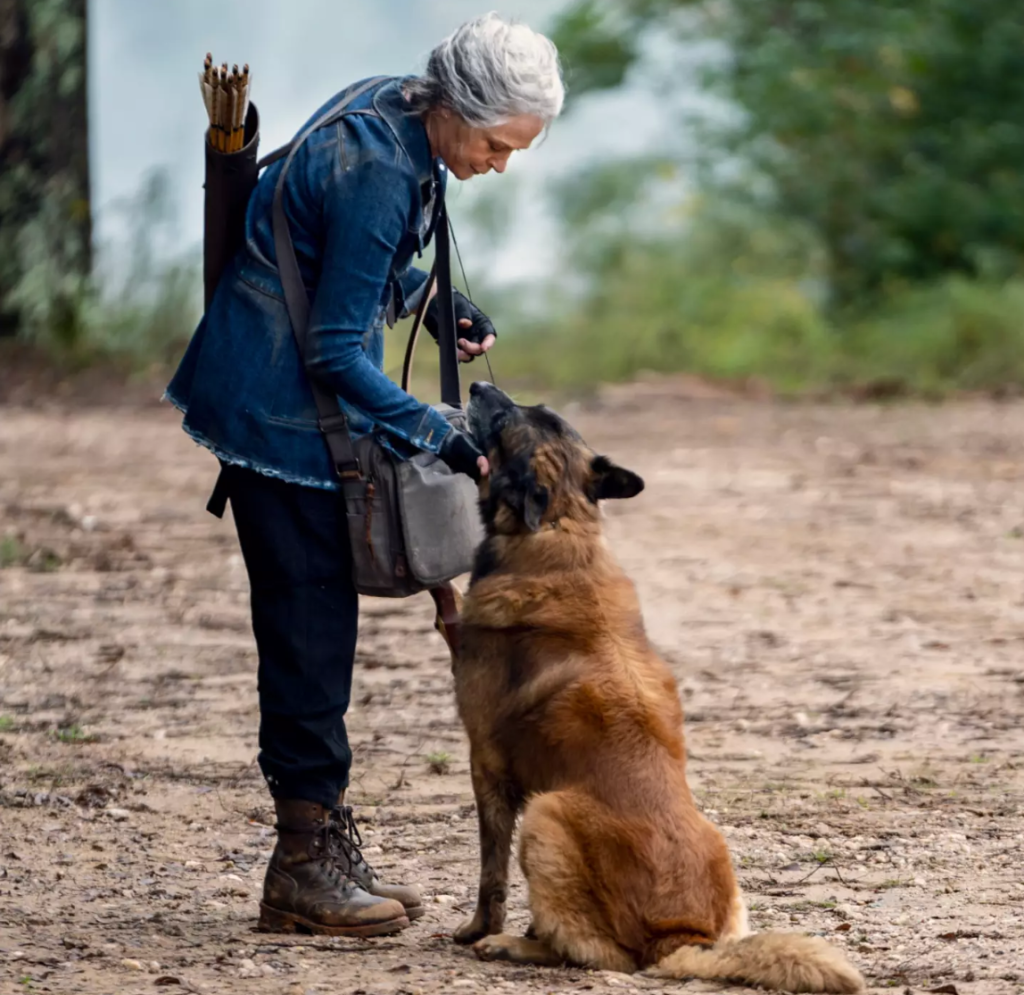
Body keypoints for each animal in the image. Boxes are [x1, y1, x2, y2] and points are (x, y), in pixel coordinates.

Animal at [450, 382, 864, 995]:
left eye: (507, 418)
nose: (477, 386)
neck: (561, 525)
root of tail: (682, 938)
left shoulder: (487, 763)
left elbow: (490, 871)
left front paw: (480, 928)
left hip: (549, 813)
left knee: (598, 953)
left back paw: (513, 945)